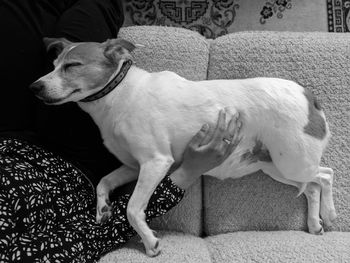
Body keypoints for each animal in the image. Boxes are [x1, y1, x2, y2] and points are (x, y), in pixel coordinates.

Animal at [30, 37, 336, 258]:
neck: (118, 94)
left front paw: (149, 242)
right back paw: (314, 223)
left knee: (326, 174)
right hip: (275, 166)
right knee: (311, 186)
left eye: (72, 66)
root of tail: (306, 93)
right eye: (54, 64)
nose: (35, 87)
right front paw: (102, 209)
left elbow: (132, 208)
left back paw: (330, 213)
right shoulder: (133, 166)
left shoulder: (156, 162)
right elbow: (103, 182)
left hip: (292, 161)